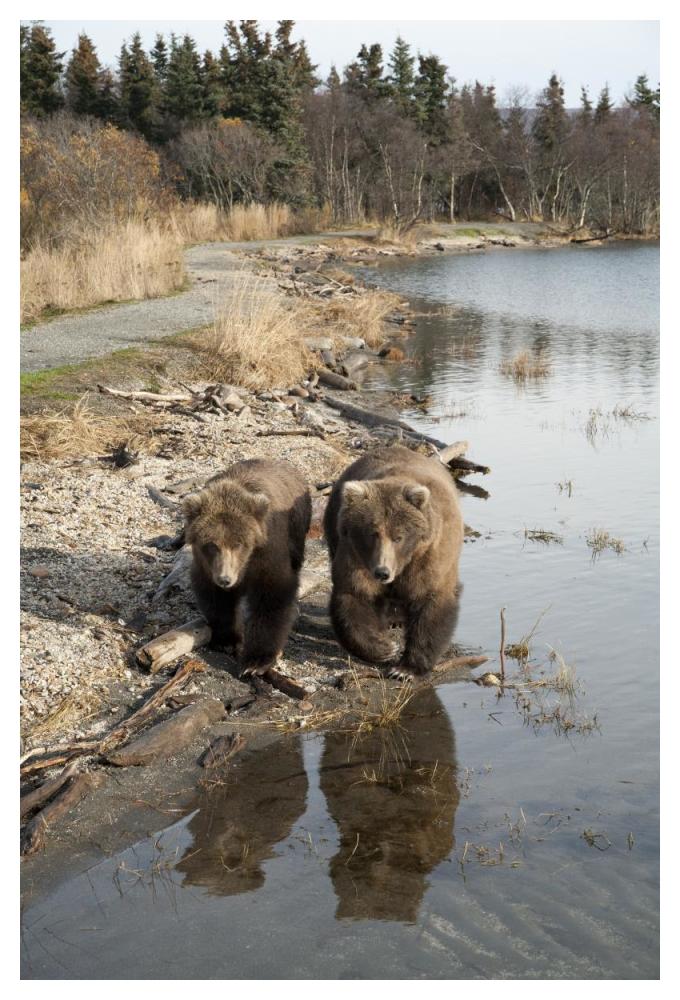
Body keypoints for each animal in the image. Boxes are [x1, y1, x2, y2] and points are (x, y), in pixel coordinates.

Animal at [183, 458, 311, 676]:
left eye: (238, 544)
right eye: (211, 545)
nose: (225, 579)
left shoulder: (268, 553)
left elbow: (271, 598)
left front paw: (255, 662)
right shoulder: (206, 566)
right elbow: (217, 600)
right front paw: (227, 640)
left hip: (297, 525)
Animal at [323, 444, 464, 679]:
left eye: (399, 536)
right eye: (372, 533)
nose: (382, 572)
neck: (402, 562)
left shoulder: (429, 556)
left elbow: (431, 601)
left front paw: (405, 669)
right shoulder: (356, 555)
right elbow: (355, 595)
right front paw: (385, 648)